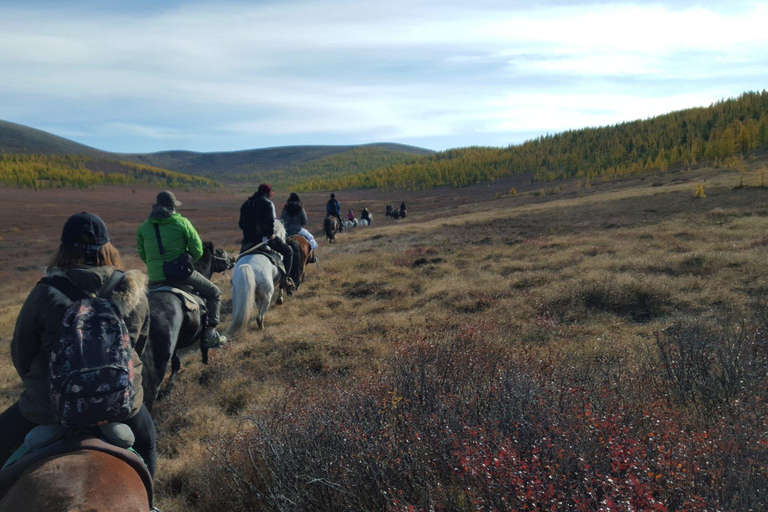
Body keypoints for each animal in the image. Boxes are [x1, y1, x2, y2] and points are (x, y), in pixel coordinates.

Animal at [143, 242, 234, 402]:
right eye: (220, 252)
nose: (233, 260)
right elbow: (203, 346)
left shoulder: (176, 345)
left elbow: (176, 364)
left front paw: (170, 386)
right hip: (160, 358)